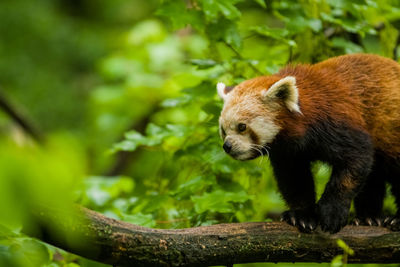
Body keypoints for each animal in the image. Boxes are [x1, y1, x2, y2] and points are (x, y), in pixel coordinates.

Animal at [217, 53, 400, 233]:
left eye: (242, 127)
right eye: (223, 131)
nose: (227, 146)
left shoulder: (338, 123)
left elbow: (356, 161)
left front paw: (331, 212)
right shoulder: (289, 153)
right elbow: (295, 179)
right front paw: (302, 216)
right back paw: (368, 217)